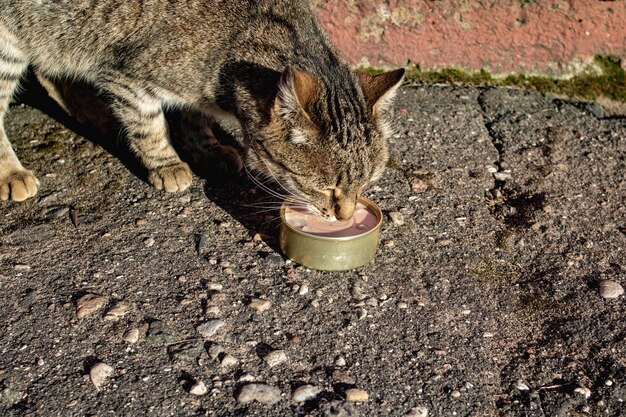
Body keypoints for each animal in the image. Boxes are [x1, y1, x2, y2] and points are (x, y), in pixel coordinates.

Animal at [0, 0, 402, 219]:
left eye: (366, 184)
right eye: (325, 188)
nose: (344, 217)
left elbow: (195, 115)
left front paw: (206, 149)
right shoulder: (125, 75)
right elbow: (148, 124)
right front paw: (168, 164)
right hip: (8, 43)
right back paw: (11, 173)